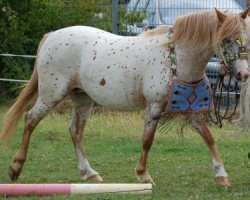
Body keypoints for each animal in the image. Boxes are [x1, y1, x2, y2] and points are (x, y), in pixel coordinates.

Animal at [0, 7, 250, 186]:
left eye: (245, 38)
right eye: (227, 39)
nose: (243, 74)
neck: (176, 57)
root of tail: (52, 36)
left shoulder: (194, 112)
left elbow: (209, 138)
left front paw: (221, 175)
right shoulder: (154, 106)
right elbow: (147, 140)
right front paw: (143, 174)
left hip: (82, 98)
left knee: (75, 132)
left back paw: (89, 173)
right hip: (52, 94)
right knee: (30, 120)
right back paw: (15, 168)